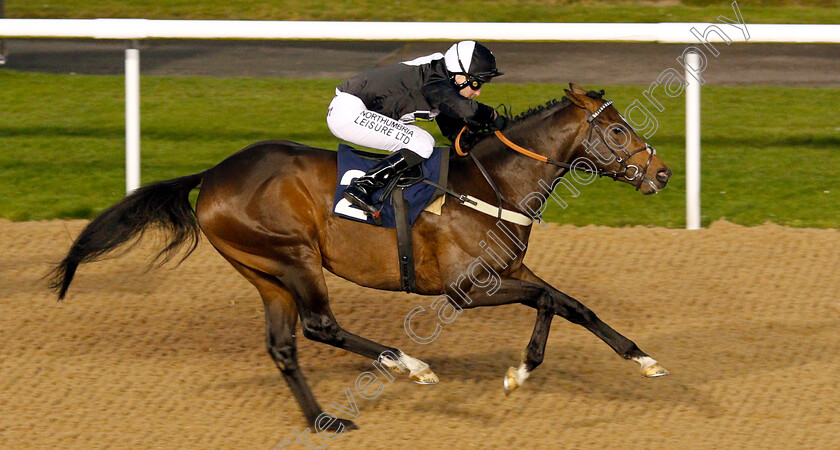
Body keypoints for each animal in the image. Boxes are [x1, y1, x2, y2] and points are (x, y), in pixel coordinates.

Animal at [50, 82, 668, 430]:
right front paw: (520, 370)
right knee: (320, 325)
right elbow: (547, 301)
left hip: (265, 272)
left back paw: (325, 421)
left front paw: (641, 359)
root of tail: (214, 173)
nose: (661, 173)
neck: (491, 183)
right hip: (293, 256)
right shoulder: (466, 289)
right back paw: (408, 365)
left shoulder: (507, 270)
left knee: (283, 346)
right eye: (618, 131)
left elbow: (572, 305)